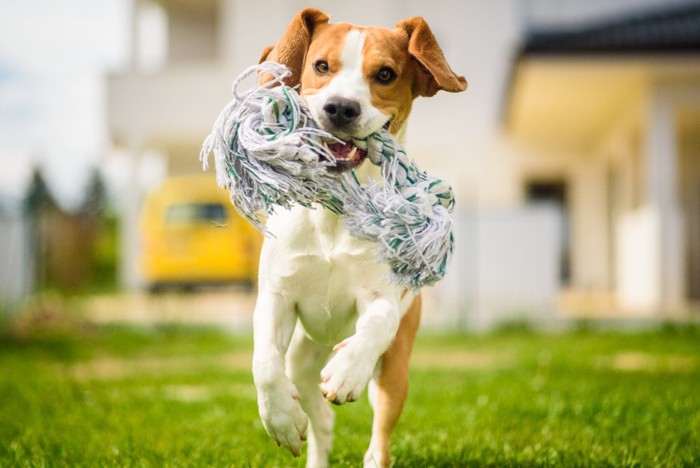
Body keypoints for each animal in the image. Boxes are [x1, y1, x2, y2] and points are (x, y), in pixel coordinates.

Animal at [250, 8, 464, 468]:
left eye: (385, 74)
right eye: (321, 66)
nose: (340, 108)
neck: (334, 213)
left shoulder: (383, 298)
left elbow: (376, 324)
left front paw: (347, 370)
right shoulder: (277, 295)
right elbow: (264, 362)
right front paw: (281, 420)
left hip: (395, 369)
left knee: (379, 434)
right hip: (303, 353)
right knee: (313, 407)